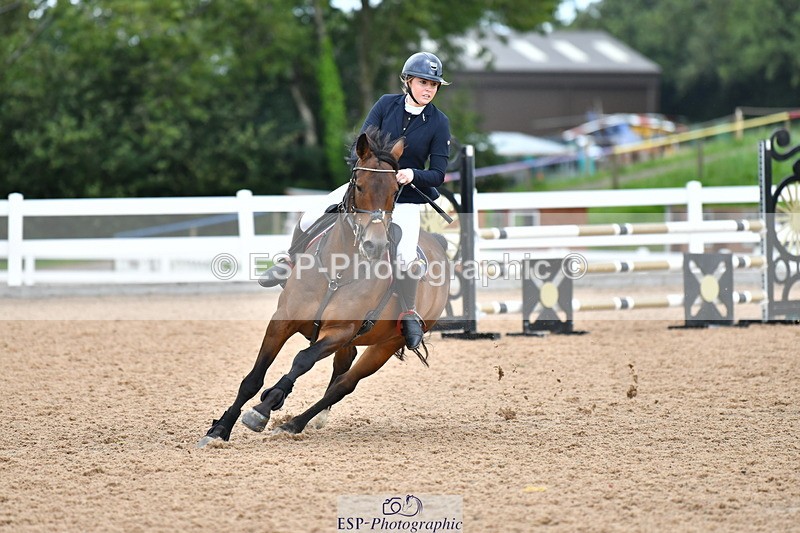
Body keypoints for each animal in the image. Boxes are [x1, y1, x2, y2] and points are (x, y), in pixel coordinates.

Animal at [198, 127, 451, 447]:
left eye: (395, 192)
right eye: (359, 186)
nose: (374, 245)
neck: (337, 270)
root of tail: (438, 243)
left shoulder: (339, 331)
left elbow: (302, 360)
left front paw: (264, 408)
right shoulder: (283, 320)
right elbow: (253, 378)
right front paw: (220, 429)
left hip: (384, 345)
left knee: (343, 385)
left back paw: (293, 423)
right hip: (352, 342)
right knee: (340, 373)